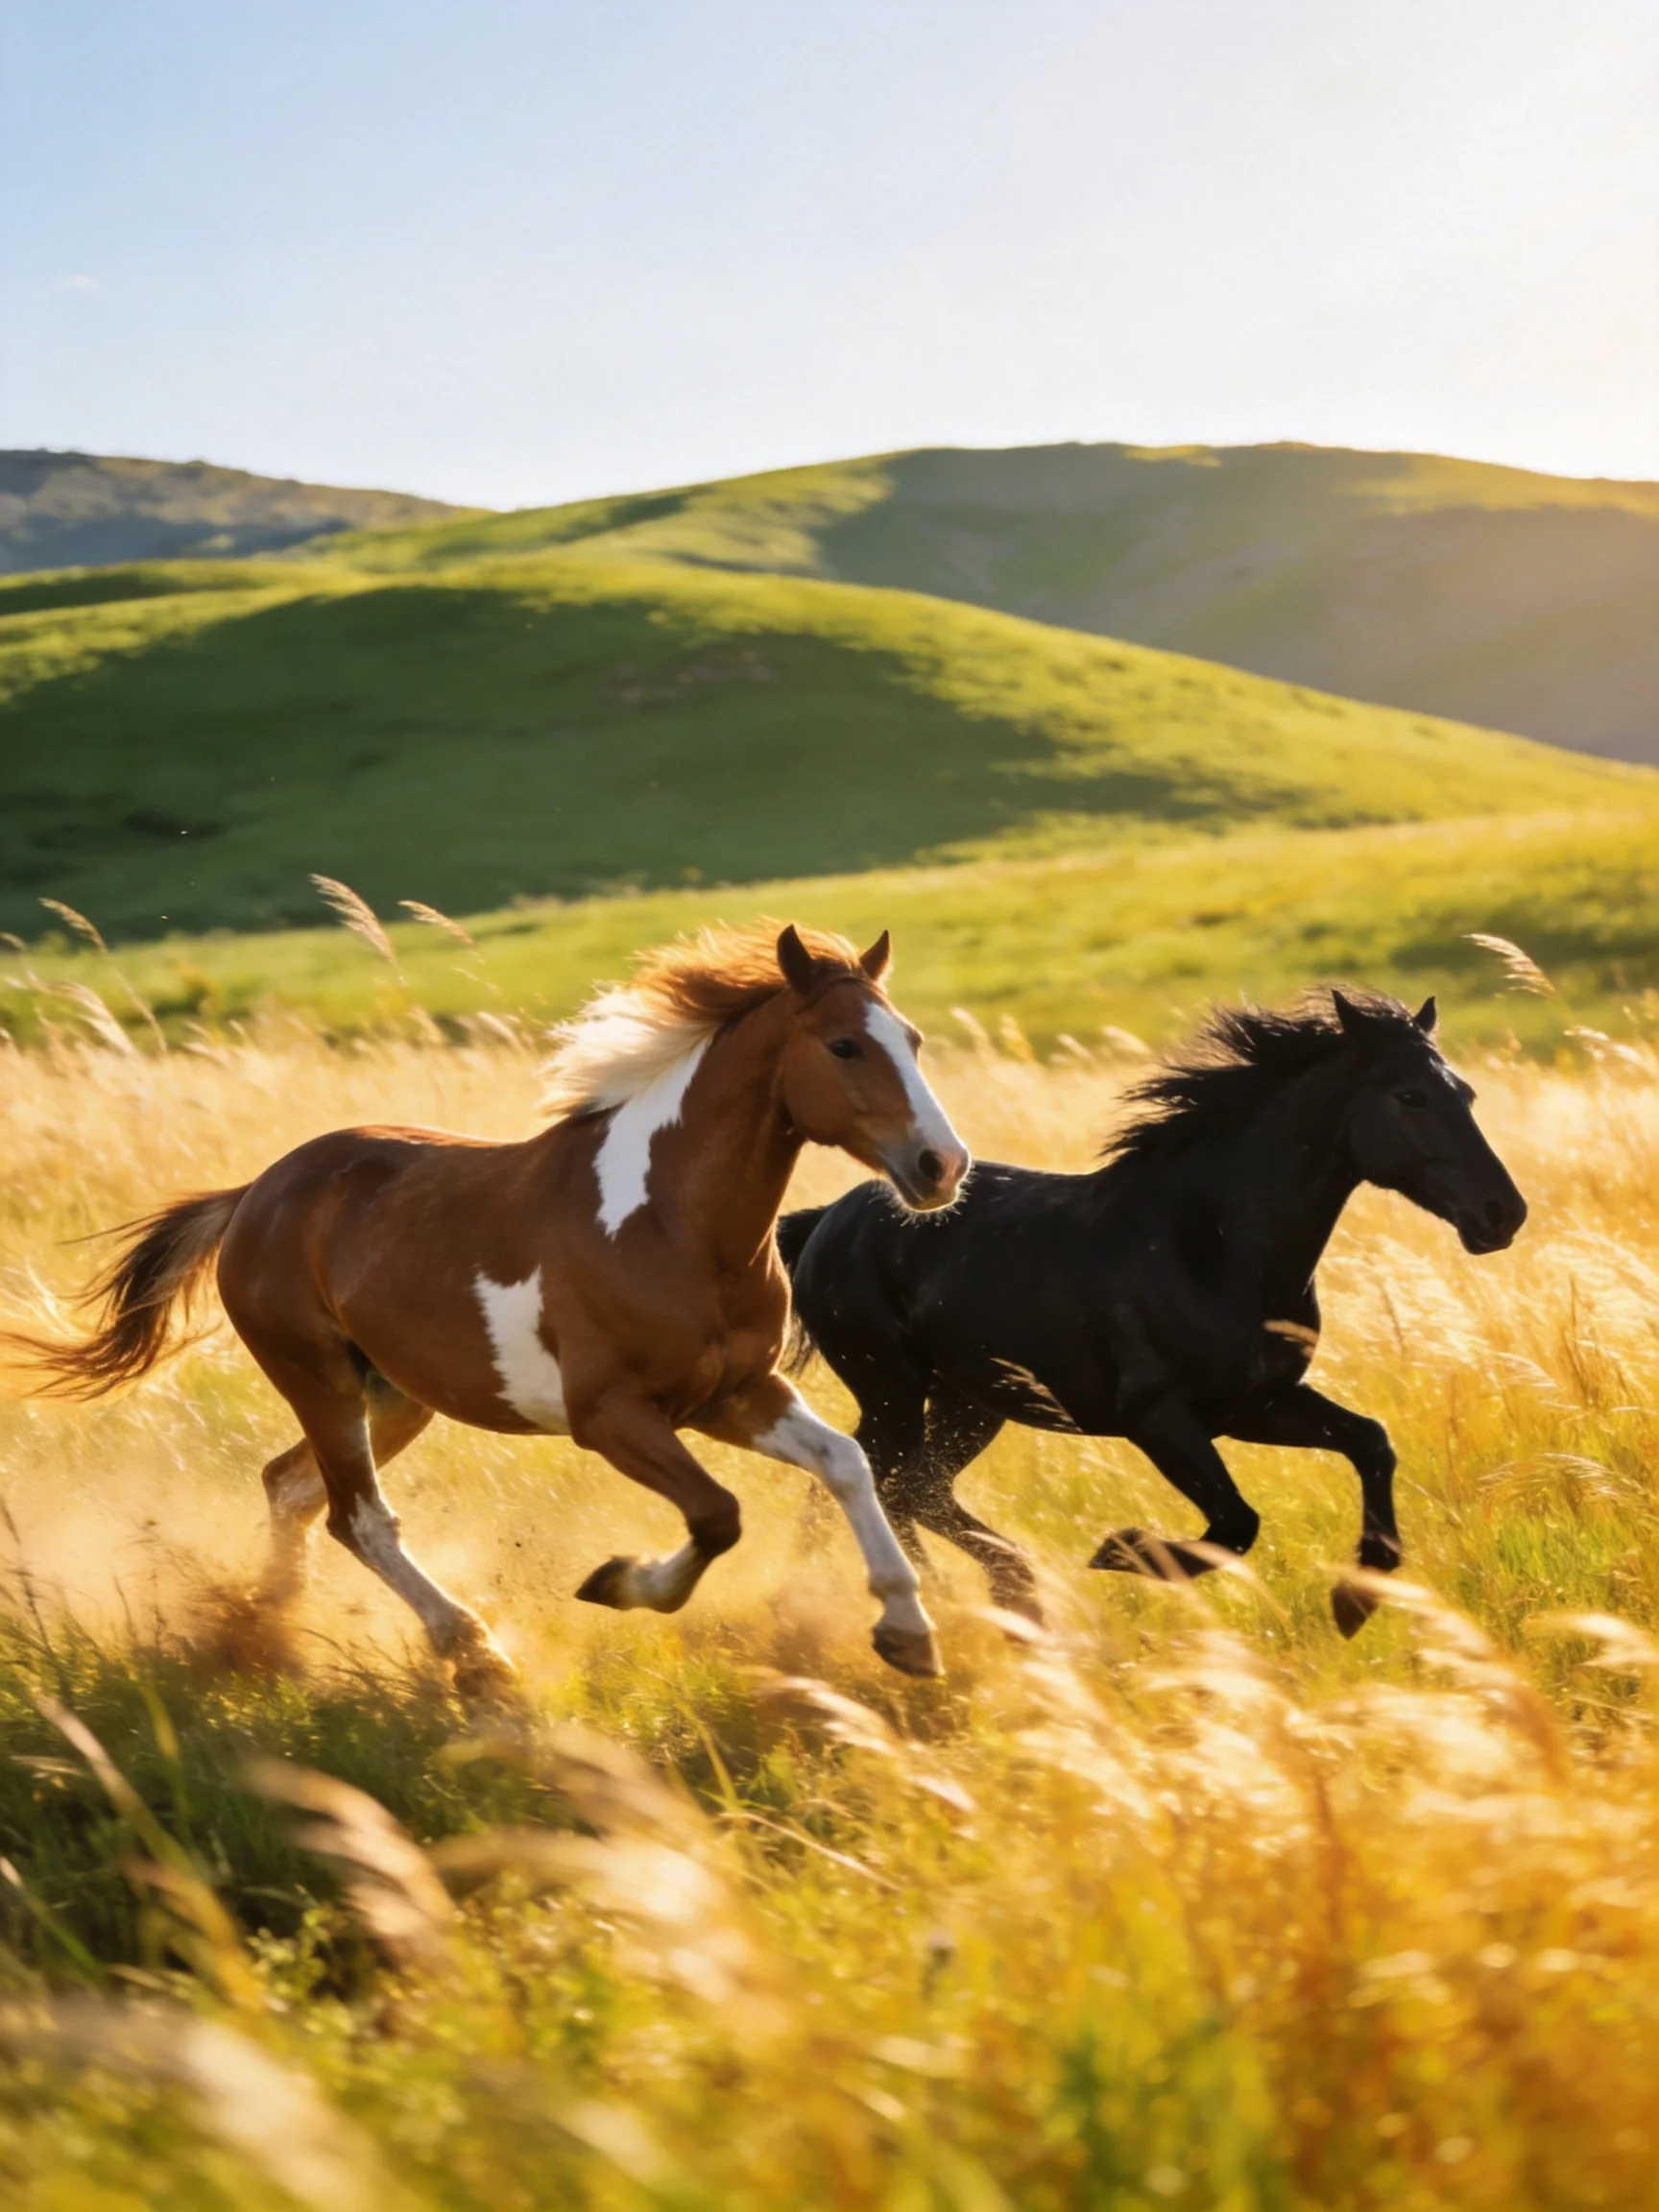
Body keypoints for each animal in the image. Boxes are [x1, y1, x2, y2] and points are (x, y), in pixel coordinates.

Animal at [9, 924, 970, 1691]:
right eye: (844, 1046)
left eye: (913, 1039)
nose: (941, 1165)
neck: (671, 1223)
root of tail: (252, 1195)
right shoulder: (611, 1415)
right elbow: (716, 1515)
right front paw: (615, 1583)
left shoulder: (734, 1395)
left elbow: (846, 1462)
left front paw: (908, 1634)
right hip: (317, 1378)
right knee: (358, 1517)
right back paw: (469, 1648)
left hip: (394, 1395)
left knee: (291, 1488)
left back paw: (268, 1631)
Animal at [779, 988, 1527, 1635]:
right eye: (1410, 1096)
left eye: (1464, 1093)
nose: (1503, 1213)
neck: (1216, 1248)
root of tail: (824, 1222)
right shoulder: (1156, 1416)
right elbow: (1237, 1523)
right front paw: (1120, 1550)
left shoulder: (1256, 1405)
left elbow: (1369, 1442)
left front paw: (1356, 1597)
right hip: (893, 1391)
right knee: (881, 1485)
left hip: (971, 1403)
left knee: (901, 1487)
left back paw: (993, 1594)